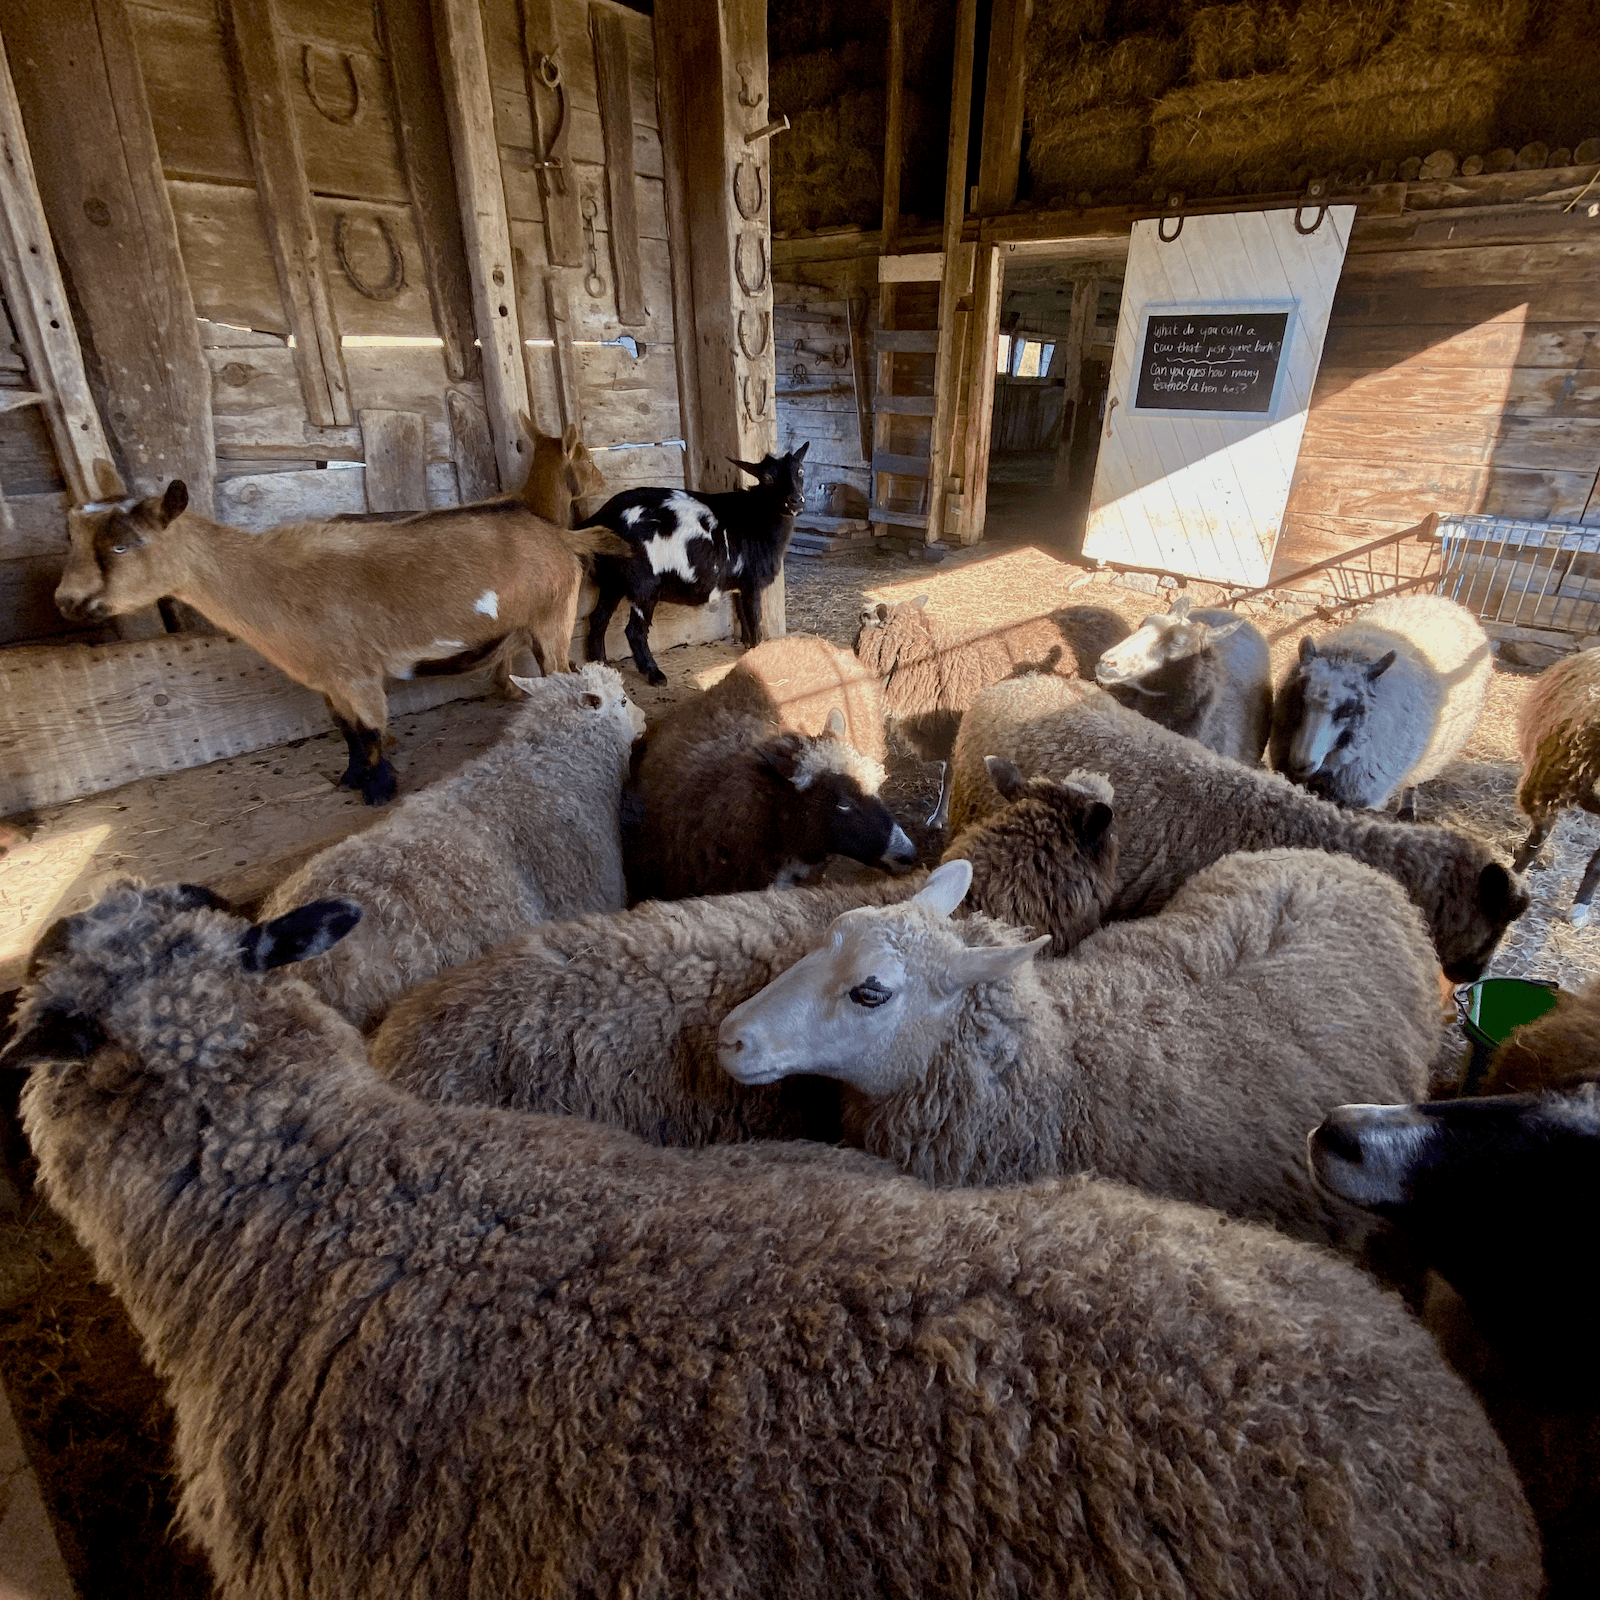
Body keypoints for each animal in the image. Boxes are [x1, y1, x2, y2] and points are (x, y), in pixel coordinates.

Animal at [55, 480, 631, 805]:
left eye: (122, 545)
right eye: (74, 541)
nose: (65, 601)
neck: (265, 581)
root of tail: (561, 536)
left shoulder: (356, 673)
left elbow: (372, 730)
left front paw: (378, 791)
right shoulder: (327, 678)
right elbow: (347, 731)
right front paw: (351, 779)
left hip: (552, 615)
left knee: (560, 671)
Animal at [584, 445, 808, 685]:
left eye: (800, 470)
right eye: (767, 477)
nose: (795, 501)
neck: (757, 518)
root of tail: (601, 517)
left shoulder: (739, 583)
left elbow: (743, 616)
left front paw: (748, 648)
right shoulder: (752, 581)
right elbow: (755, 618)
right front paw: (757, 652)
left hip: (613, 579)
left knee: (598, 618)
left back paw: (601, 665)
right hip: (642, 583)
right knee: (634, 631)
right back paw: (654, 674)